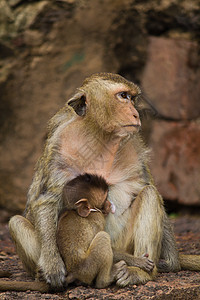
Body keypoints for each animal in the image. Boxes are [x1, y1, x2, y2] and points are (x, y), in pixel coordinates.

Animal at [8, 71, 200, 290]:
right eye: (123, 96)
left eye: (132, 98)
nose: (135, 114)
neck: (100, 135)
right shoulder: (60, 143)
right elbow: (47, 199)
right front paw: (52, 265)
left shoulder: (134, 145)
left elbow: (147, 186)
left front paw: (171, 261)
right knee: (16, 222)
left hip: (124, 245)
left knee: (149, 194)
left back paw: (139, 273)